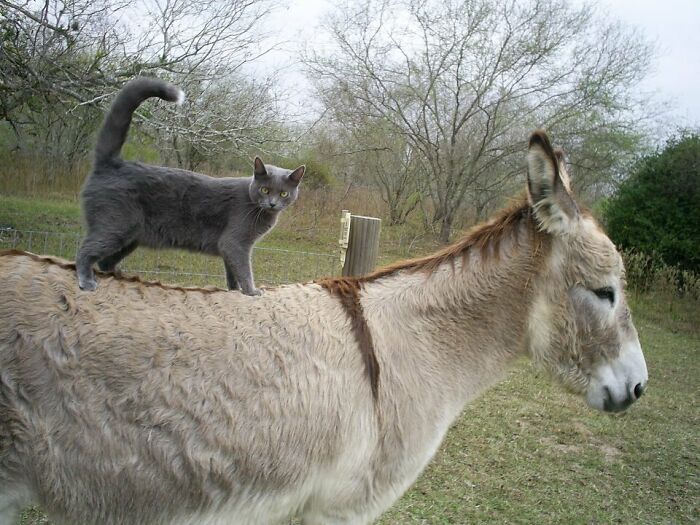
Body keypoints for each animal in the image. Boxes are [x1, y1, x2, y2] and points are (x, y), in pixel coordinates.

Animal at [77, 77, 306, 294]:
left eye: (284, 193)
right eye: (265, 190)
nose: (272, 203)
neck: (258, 209)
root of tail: (112, 163)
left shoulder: (229, 248)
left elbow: (231, 272)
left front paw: (234, 290)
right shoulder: (236, 242)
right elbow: (243, 269)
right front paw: (252, 291)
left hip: (131, 236)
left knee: (105, 261)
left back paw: (121, 275)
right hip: (116, 223)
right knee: (85, 250)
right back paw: (87, 281)